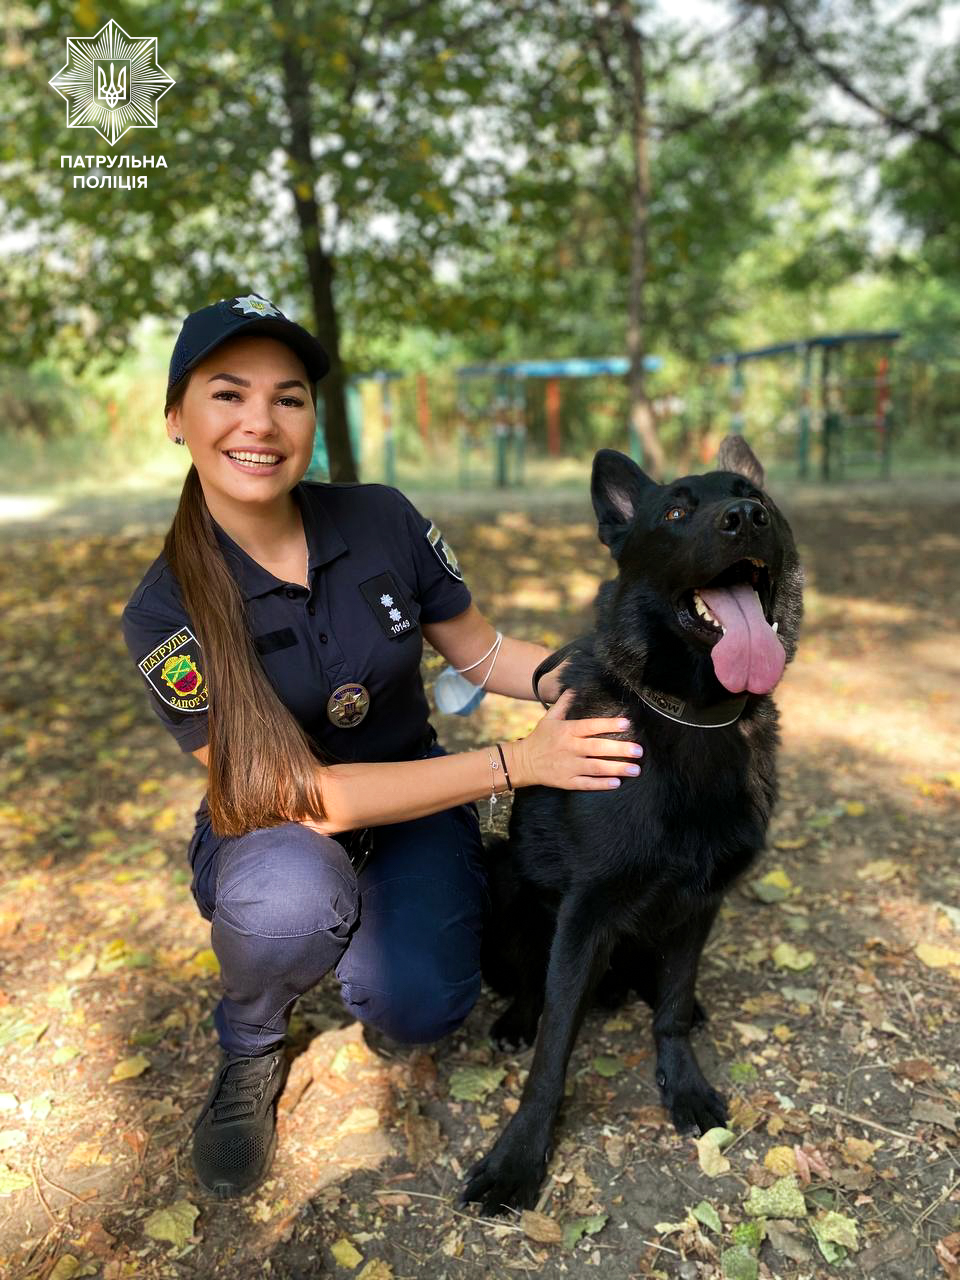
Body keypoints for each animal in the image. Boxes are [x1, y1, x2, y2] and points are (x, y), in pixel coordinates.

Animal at [459, 435, 804, 1216]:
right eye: (675, 511)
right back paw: (517, 1019)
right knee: (533, 987)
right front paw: (519, 1157)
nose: (747, 518)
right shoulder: (584, 915)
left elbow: (670, 1007)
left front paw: (684, 1083)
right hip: (501, 873)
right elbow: (556, 1045)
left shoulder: (702, 902)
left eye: (757, 499)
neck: (695, 719)